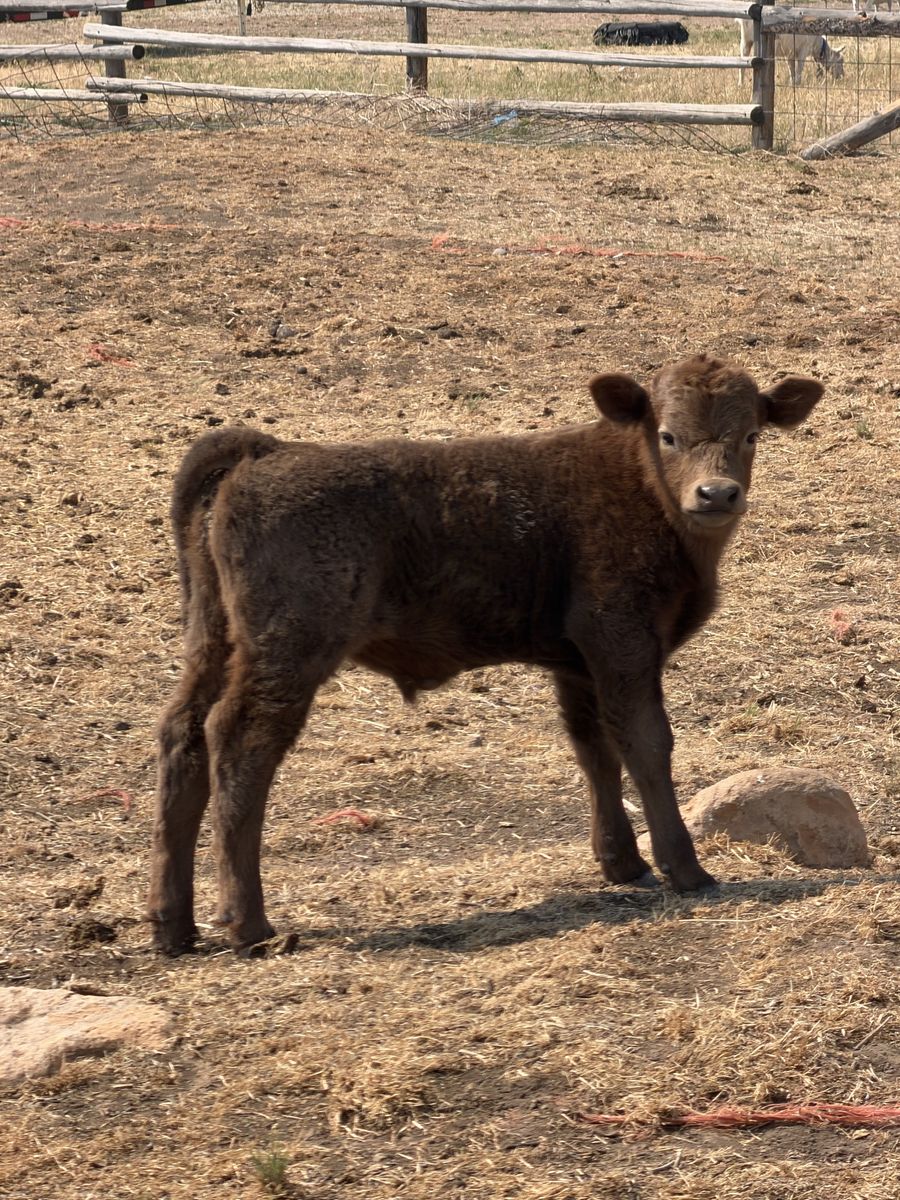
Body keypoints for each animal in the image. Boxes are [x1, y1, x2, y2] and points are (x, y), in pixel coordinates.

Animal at [148, 355, 823, 954]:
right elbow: (647, 744)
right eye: (668, 434)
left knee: (184, 733)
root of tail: (266, 452)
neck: (637, 483)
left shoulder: (578, 664)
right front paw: (687, 871)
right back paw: (248, 924)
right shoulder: (623, 642)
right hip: (288, 651)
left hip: (213, 640)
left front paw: (622, 863)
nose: (717, 493)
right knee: (239, 741)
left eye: (752, 433)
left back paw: (172, 927)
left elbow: (595, 750)